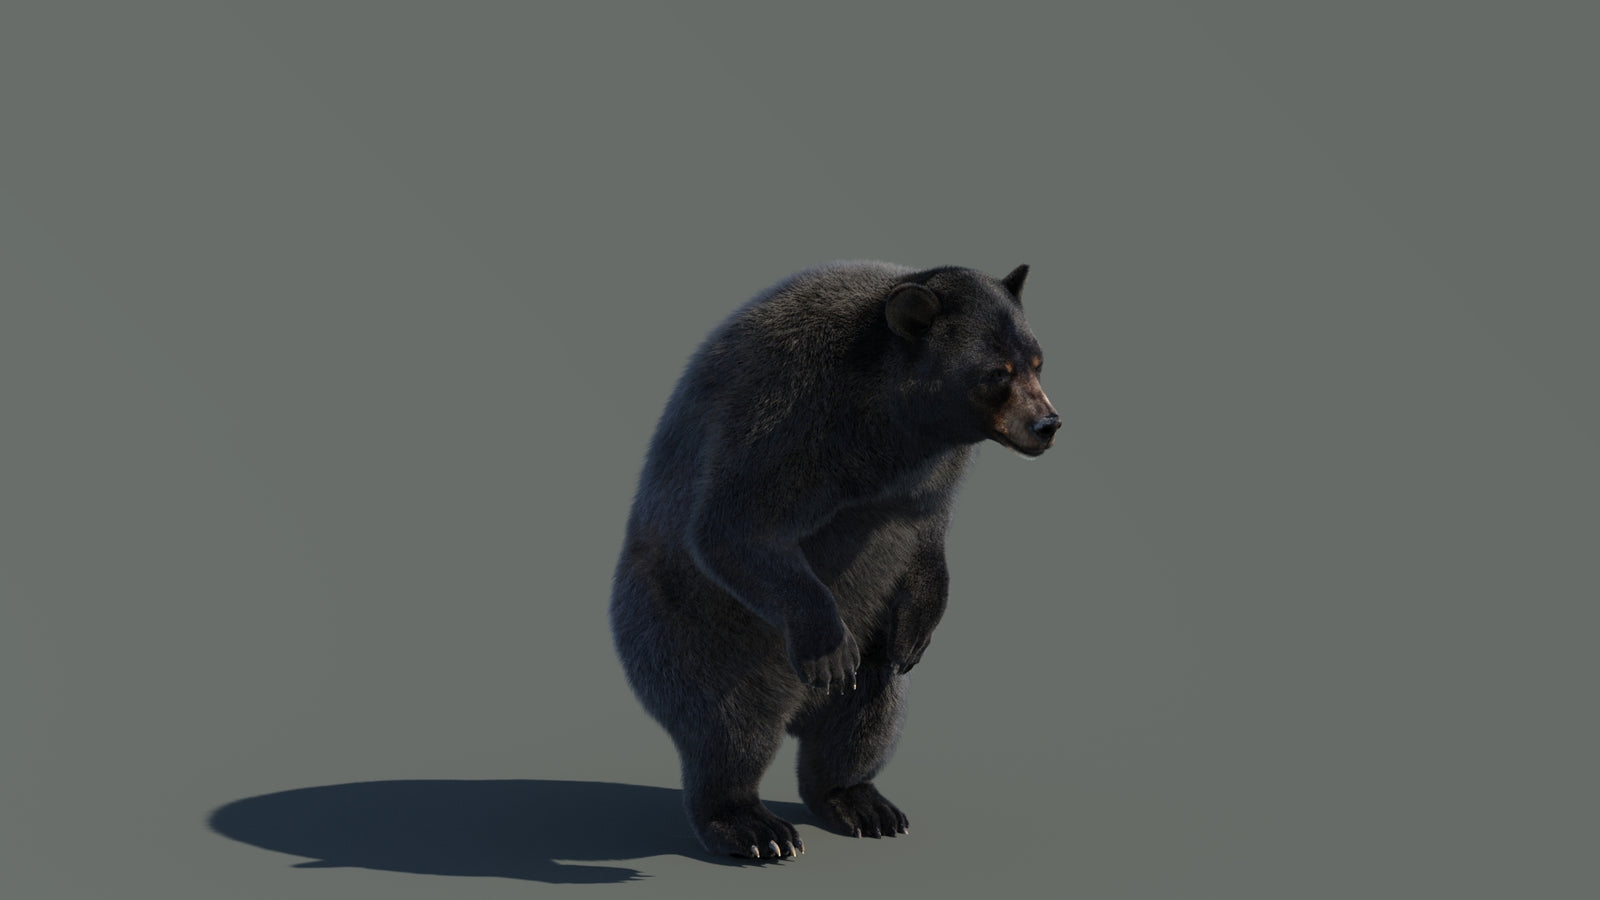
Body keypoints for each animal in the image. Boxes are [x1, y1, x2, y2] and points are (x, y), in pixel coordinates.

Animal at [609, 260, 1059, 860]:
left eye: (1037, 360)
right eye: (995, 372)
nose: (1048, 424)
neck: (892, 425)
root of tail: (797, 710)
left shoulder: (935, 472)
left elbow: (926, 537)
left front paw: (918, 629)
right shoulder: (792, 414)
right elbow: (735, 528)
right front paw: (830, 648)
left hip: (870, 663)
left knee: (866, 716)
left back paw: (862, 802)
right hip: (695, 636)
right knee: (729, 730)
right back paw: (754, 827)